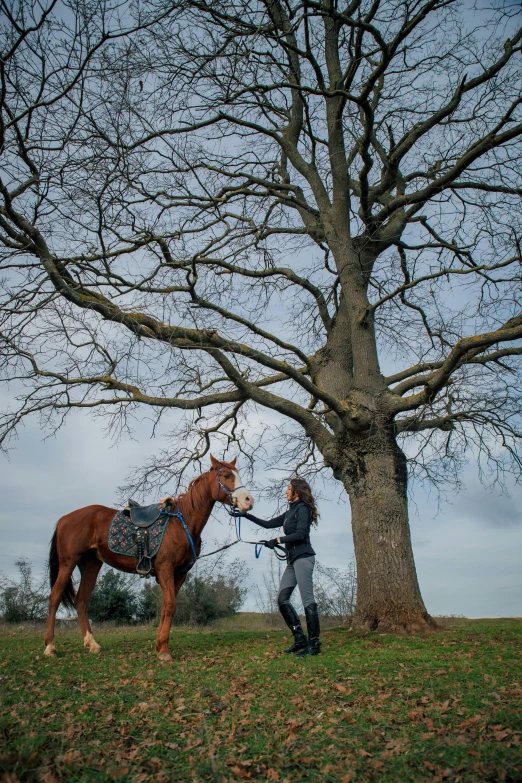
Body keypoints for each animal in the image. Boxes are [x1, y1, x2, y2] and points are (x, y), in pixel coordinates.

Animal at [45, 454, 253, 660]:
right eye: (226, 475)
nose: (248, 500)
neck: (181, 523)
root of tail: (64, 519)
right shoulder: (165, 569)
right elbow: (170, 605)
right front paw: (164, 651)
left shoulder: (180, 574)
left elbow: (166, 608)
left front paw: (159, 645)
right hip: (68, 563)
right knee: (55, 597)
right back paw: (50, 647)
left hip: (90, 565)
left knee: (81, 601)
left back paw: (92, 644)